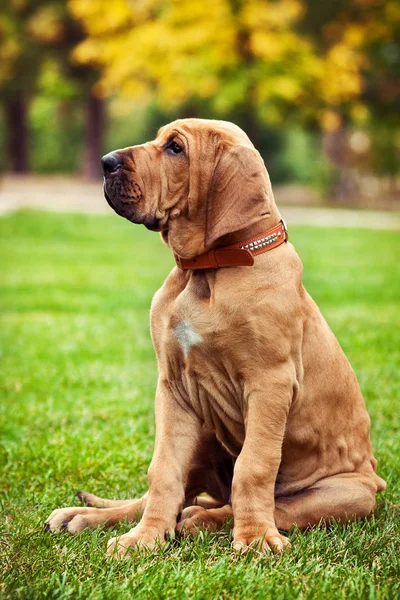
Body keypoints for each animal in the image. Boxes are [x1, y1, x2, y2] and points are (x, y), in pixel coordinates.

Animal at [45, 117, 386, 556]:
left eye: (175, 148)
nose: (106, 162)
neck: (209, 268)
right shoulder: (173, 388)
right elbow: (163, 472)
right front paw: (144, 538)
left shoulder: (270, 385)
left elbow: (254, 467)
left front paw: (255, 538)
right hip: (206, 431)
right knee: (178, 494)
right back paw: (85, 516)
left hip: (349, 493)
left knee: (261, 506)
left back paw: (203, 521)